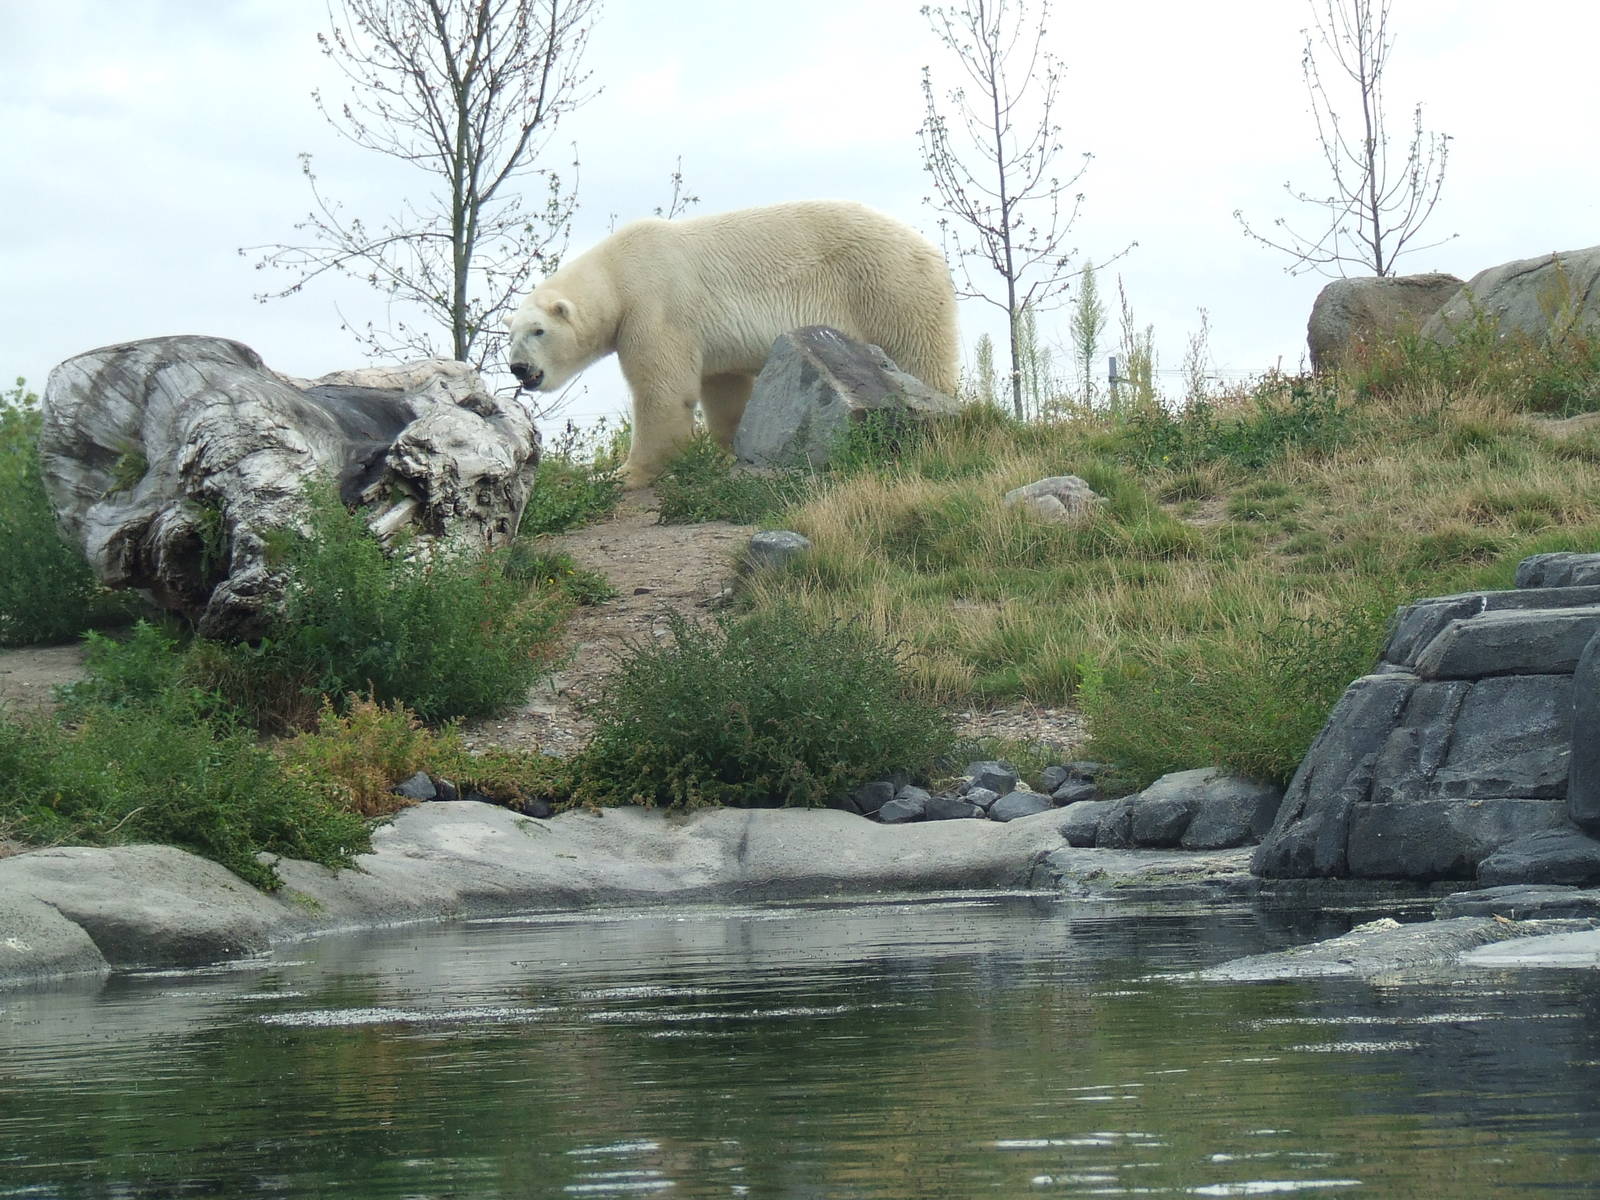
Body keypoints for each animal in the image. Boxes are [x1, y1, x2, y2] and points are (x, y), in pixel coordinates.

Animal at [504, 200, 960, 488]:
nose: (519, 369)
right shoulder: (709, 336)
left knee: (917, 355)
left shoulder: (655, 307)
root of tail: (929, 249)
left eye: (538, 331)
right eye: (510, 335)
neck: (618, 273)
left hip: (887, 288)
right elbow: (722, 386)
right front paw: (728, 452)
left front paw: (621, 474)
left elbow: (663, 391)